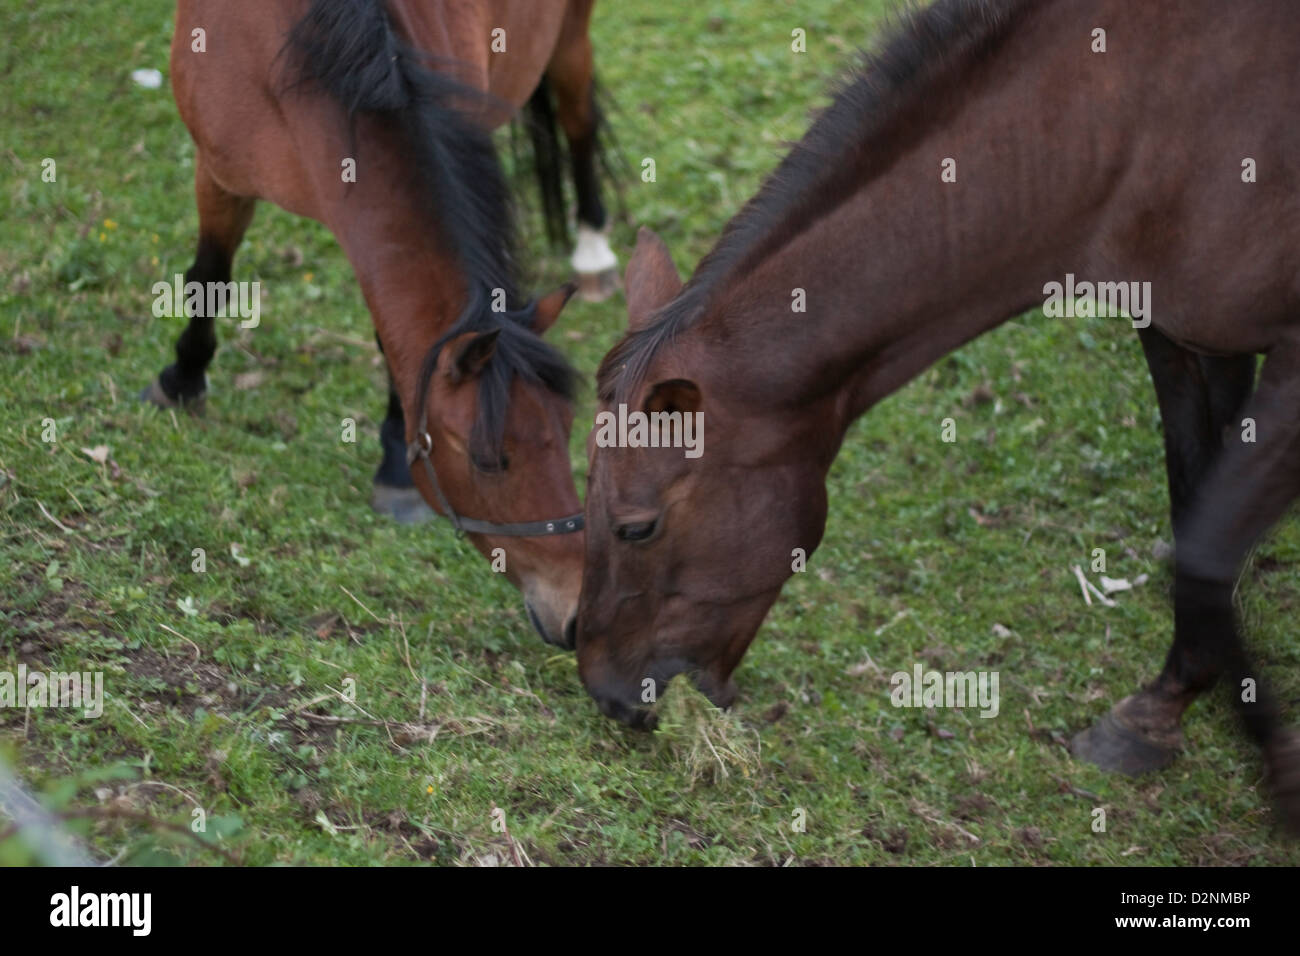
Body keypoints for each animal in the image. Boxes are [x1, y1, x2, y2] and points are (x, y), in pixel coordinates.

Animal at [147, 0, 618, 650]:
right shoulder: (218, 173)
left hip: (571, 31)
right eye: (488, 461)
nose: (576, 614)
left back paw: (594, 247)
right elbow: (209, 274)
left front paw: (395, 459)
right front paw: (183, 377)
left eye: (567, 430)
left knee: (578, 116)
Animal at [582, 0, 1300, 832]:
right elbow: (1199, 520)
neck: (1135, 119)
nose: (603, 691)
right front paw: (1165, 707)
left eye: (637, 528)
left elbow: (1208, 551)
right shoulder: (1184, 336)